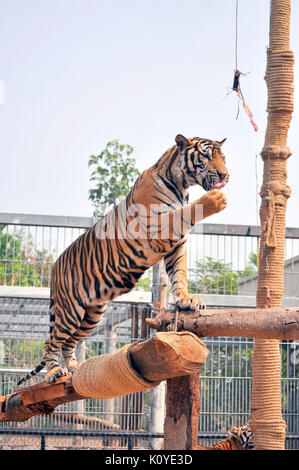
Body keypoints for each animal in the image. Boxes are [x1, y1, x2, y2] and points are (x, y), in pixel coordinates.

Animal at [17, 133, 230, 386]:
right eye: (206, 156)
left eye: (223, 158)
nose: (225, 175)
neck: (181, 184)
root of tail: (54, 266)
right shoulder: (156, 229)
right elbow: (183, 214)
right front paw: (214, 199)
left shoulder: (176, 245)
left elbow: (180, 274)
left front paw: (187, 300)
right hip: (70, 309)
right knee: (51, 341)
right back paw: (54, 371)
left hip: (92, 313)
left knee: (69, 342)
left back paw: (74, 367)